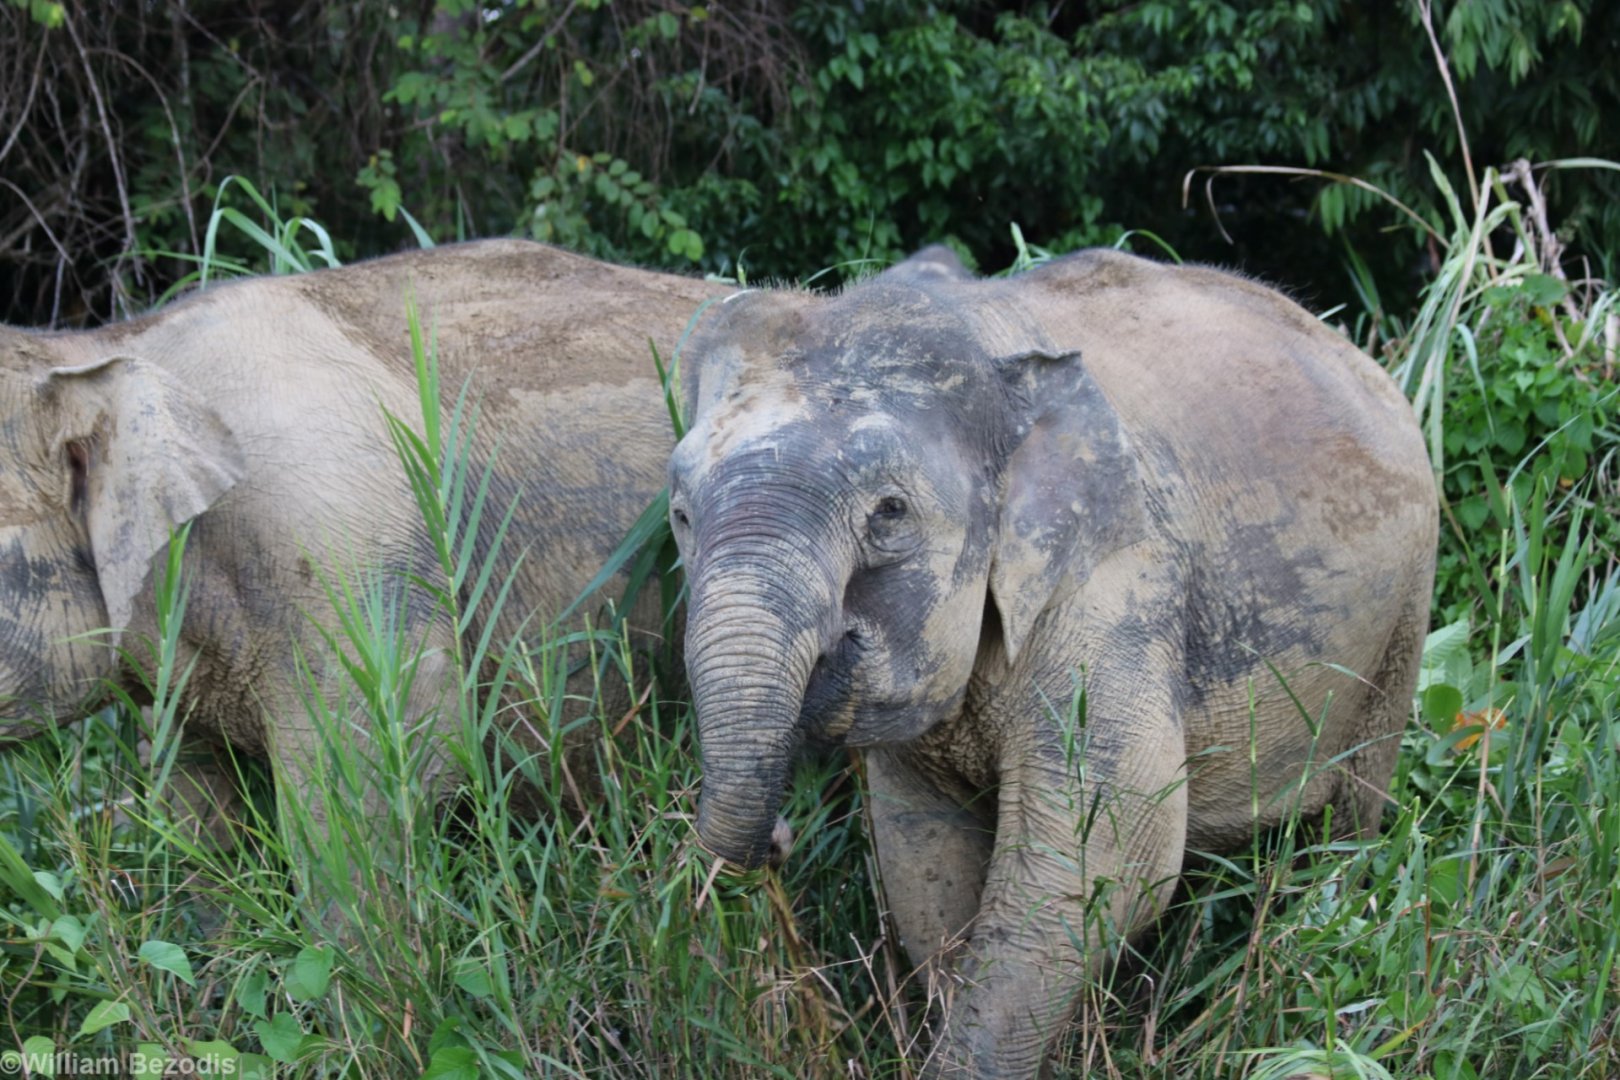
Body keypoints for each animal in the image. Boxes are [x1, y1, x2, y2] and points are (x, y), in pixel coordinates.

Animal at [667, 248, 1438, 1075]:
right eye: (680, 514)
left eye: (889, 514)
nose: (780, 839)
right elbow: (924, 858)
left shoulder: (1115, 593)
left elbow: (1101, 862)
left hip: (1403, 623)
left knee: (1350, 823)